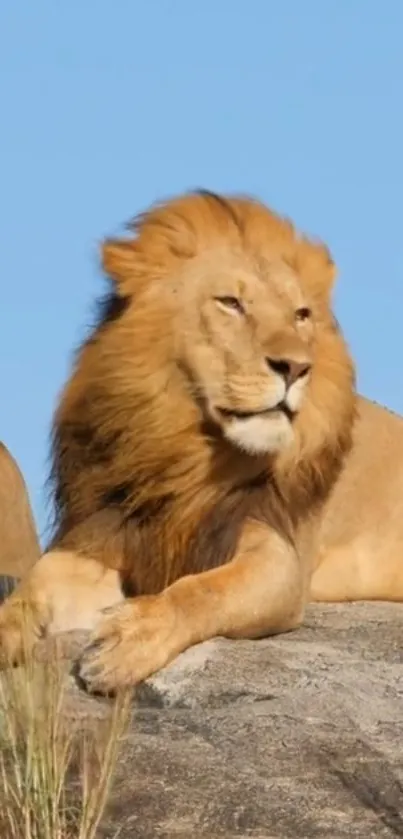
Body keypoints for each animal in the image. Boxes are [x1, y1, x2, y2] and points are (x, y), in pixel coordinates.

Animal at [0, 192, 403, 696]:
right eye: (231, 303)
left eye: (301, 315)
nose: (295, 367)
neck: (186, 448)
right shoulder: (112, 531)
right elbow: (35, 586)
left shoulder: (279, 556)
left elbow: (203, 590)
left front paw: (130, 639)